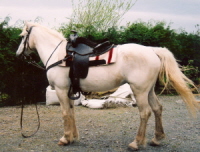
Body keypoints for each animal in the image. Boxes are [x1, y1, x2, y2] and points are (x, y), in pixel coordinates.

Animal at [16, 22, 199, 150]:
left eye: (23, 36)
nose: (18, 54)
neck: (60, 55)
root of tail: (152, 50)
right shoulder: (70, 91)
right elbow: (72, 113)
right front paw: (73, 137)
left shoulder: (61, 90)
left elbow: (65, 113)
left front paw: (65, 139)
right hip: (149, 90)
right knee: (157, 109)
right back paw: (156, 139)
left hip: (139, 90)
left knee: (145, 112)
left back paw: (136, 143)